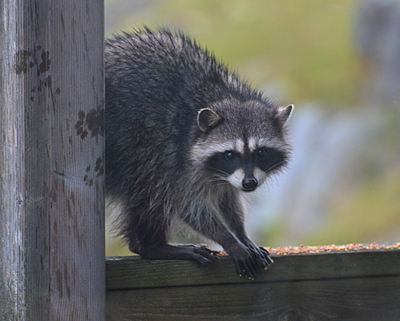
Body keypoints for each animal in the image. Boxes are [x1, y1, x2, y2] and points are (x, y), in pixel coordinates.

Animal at [105, 27, 294, 278]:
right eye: (230, 155)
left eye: (261, 152)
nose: (250, 183)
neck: (225, 96)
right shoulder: (179, 157)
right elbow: (189, 205)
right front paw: (229, 240)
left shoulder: (227, 176)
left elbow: (227, 198)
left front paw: (241, 234)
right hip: (132, 144)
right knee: (152, 188)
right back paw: (151, 246)